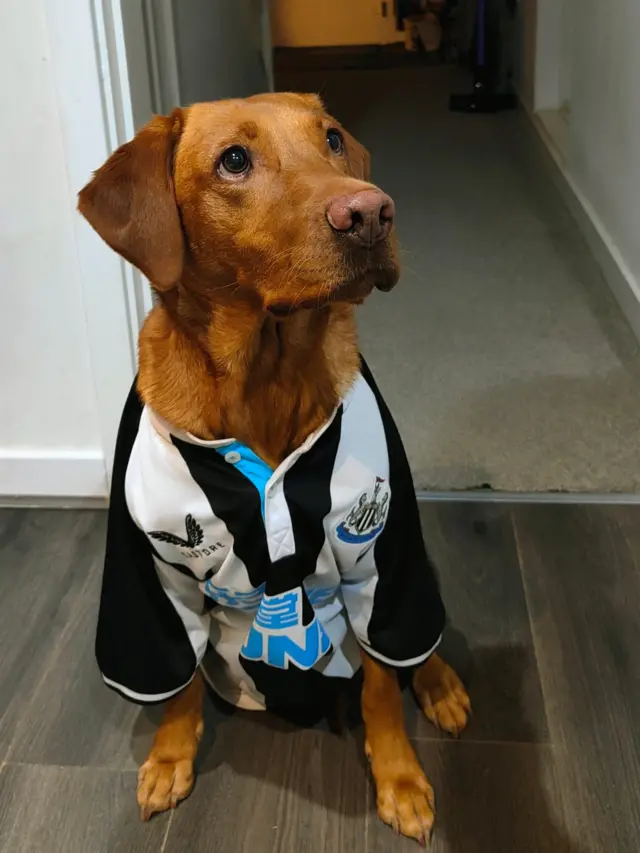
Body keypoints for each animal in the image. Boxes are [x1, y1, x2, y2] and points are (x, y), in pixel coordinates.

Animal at [80, 90, 470, 844]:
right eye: (234, 160)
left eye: (334, 139)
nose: (372, 212)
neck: (266, 377)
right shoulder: (153, 578)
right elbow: (177, 684)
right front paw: (170, 757)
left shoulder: (380, 558)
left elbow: (382, 684)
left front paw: (400, 777)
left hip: (409, 567)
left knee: (416, 638)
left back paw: (439, 683)